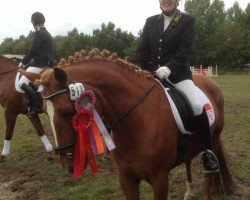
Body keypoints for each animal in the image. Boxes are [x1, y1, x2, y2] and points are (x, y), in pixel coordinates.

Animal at [21, 48, 234, 200]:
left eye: (67, 110)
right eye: (43, 111)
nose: (68, 166)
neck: (137, 122)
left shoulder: (160, 179)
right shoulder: (126, 178)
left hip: (213, 141)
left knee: (208, 176)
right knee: (188, 160)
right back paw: (189, 192)